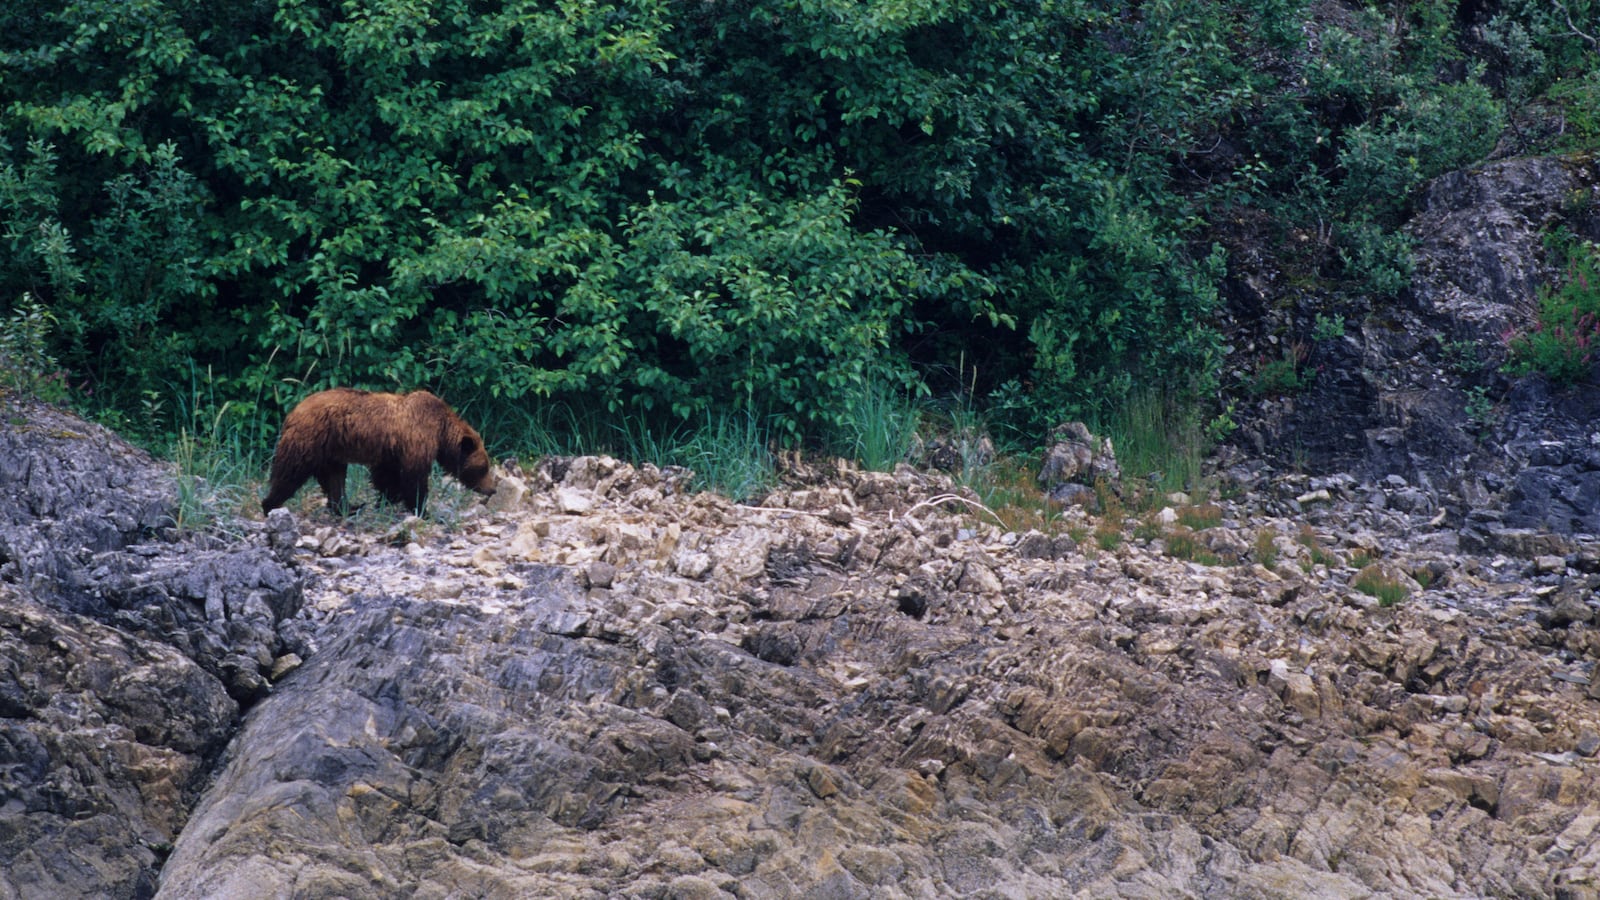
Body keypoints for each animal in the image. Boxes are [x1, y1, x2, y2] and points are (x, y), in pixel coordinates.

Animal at [261, 388, 497, 515]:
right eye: (483, 468)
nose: (492, 489)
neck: (441, 431)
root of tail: (292, 412)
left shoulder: (391, 451)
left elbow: (386, 476)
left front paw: (386, 499)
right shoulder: (416, 440)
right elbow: (414, 477)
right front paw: (422, 509)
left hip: (331, 449)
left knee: (334, 478)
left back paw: (349, 507)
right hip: (309, 440)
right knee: (291, 472)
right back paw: (270, 504)